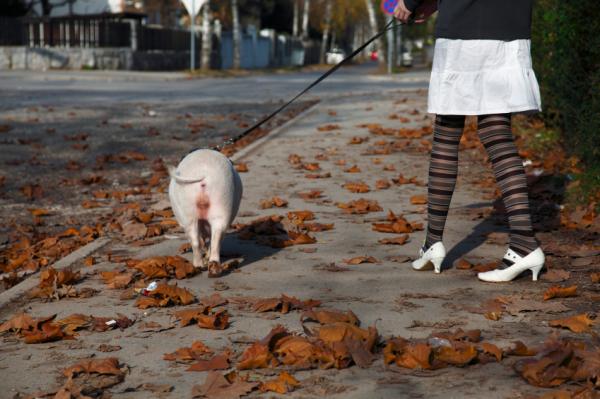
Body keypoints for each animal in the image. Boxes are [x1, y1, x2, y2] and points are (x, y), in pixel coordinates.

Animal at [168, 149, 243, 278]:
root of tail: (204, 176)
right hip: (222, 202)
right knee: (214, 239)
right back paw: (213, 269)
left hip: (188, 213)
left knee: (196, 241)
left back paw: (199, 265)